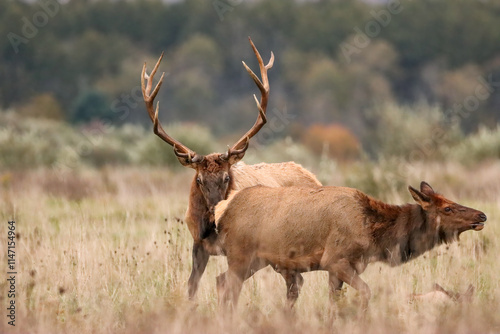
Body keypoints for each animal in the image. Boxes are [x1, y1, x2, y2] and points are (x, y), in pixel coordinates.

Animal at [141, 37, 320, 300]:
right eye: (199, 180)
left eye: (227, 178)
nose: (216, 215)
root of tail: (314, 178)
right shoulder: (198, 244)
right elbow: (193, 285)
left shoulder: (245, 250)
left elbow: (227, 284)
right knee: (294, 281)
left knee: (292, 282)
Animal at [216, 183, 488, 310]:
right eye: (447, 208)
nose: (482, 215)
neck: (375, 236)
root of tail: (224, 213)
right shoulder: (335, 260)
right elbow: (366, 292)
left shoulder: (341, 268)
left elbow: (333, 303)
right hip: (241, 255)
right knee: (230, 287)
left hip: (256, 261)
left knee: (220, 281)